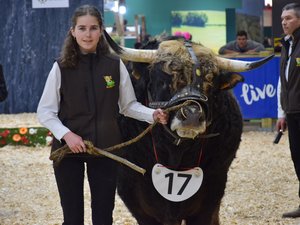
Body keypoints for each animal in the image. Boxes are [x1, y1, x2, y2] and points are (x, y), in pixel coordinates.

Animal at [104, 32, 274, 225]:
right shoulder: (137, 202)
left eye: (211, 83)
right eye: (162, 80)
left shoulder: (210, 197)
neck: (175, 154)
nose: (192, 115)